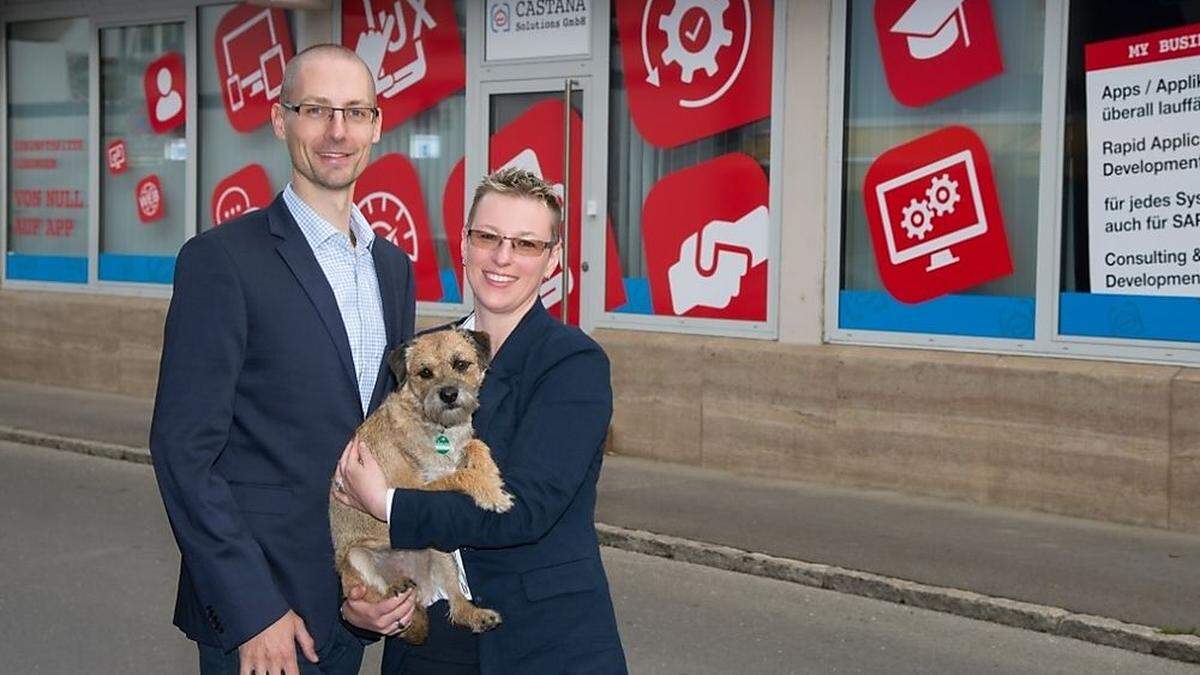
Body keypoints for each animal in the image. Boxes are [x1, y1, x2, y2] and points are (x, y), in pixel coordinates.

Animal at [331, 329, 513, 643]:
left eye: (461, 364)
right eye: (425, 372)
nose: (449, 394)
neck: (437, 427)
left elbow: (476, 445)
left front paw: (491, 475)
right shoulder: (416, 489)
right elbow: (460, 476)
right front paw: (492, 493)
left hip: (441, 555)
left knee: (457, 604)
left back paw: (476, 616)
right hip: (356, 559)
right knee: (374, 596)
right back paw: (394, 589)